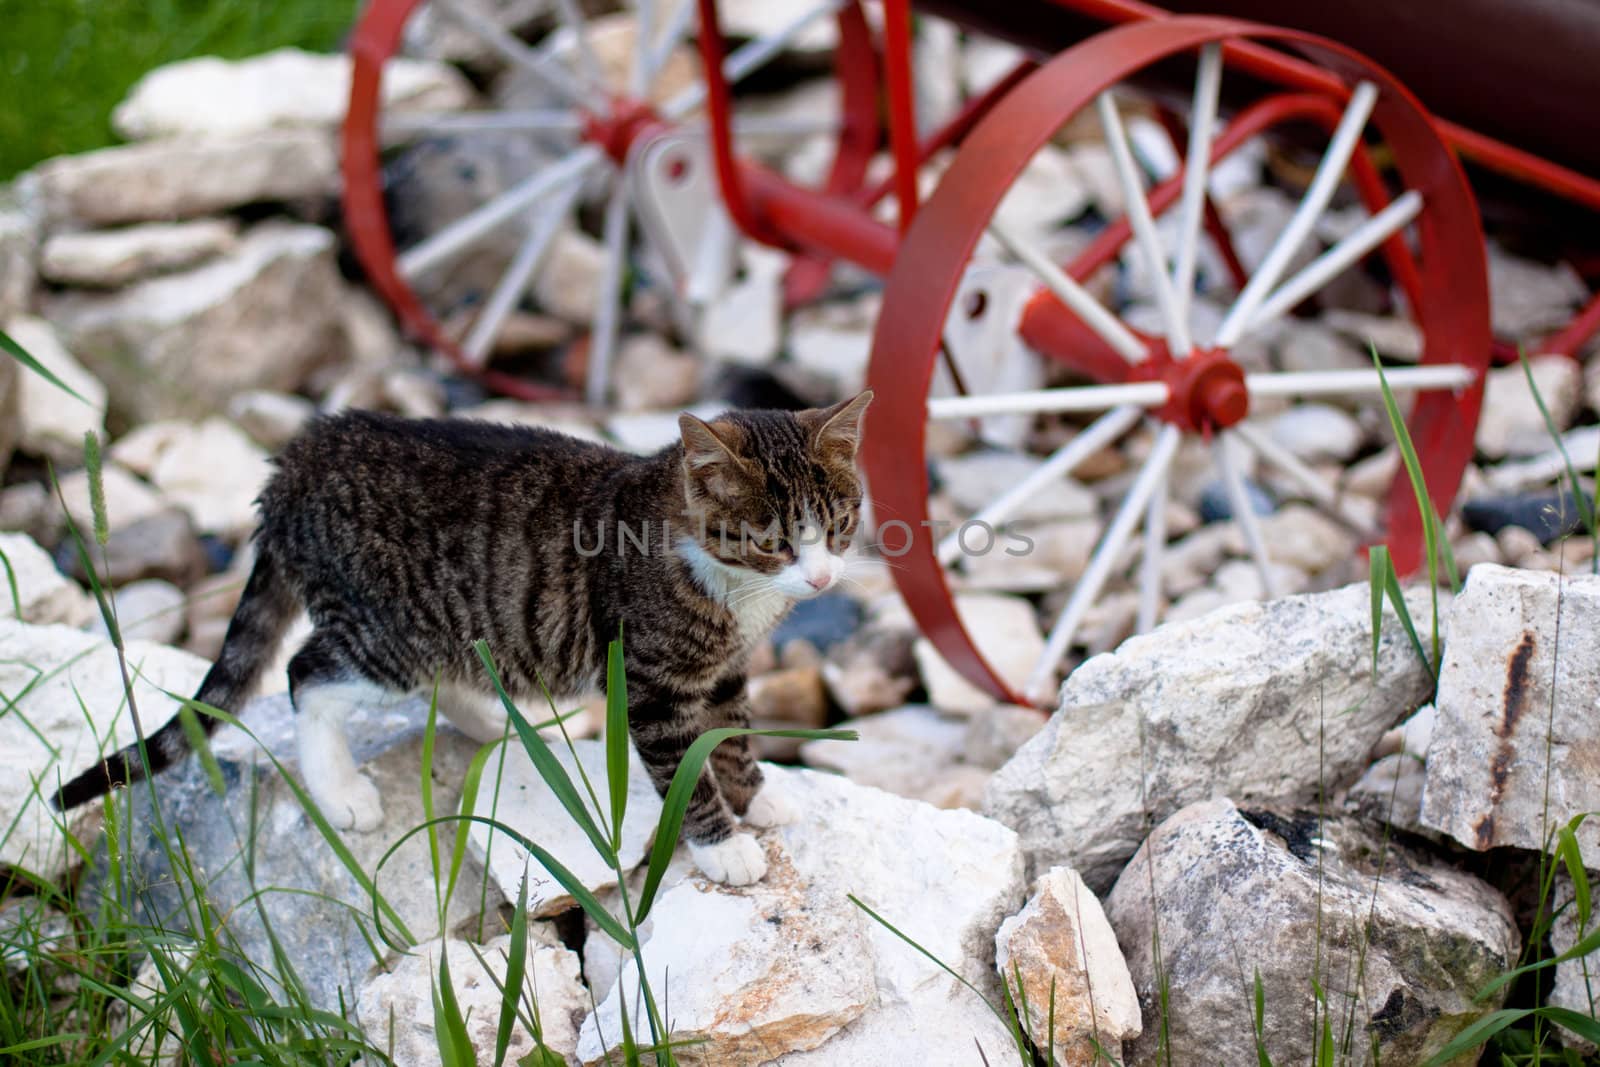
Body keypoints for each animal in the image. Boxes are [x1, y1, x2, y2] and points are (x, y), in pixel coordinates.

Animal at [53, 391, 876, 883]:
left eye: (838, 526)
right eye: (772, 542)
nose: (822, 581)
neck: (735, 592)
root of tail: (295, 463)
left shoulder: (727, 666)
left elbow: (730, 731)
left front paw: (755, 795)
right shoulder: (650, 681)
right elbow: (683, 764)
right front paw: (722, 844)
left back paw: (492, 719)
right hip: (387, 631)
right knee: (307, 671)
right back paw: (340, 786)